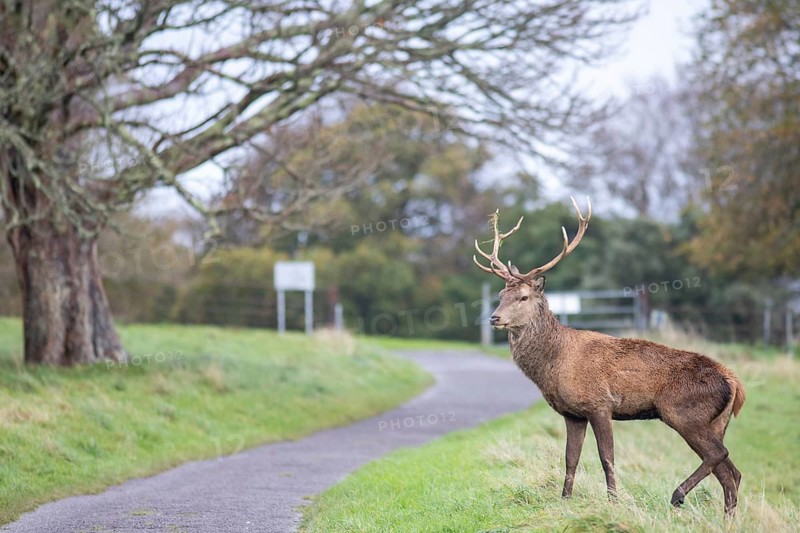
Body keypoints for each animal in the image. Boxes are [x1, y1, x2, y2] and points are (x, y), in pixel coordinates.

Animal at [473, 198, 746, 515]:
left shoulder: (600, 404)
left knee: (719, 456)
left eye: (523, 297)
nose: (494, 318)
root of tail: (735, 382)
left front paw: (613, 502)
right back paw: (725, 518)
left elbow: (607, 458)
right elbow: (571, 458)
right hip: (716, 422)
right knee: (731, 473)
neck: (554, 364)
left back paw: (677, 495)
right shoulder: (572, 413)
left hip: (683, 412)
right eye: (500, 295)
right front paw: (565, 501)